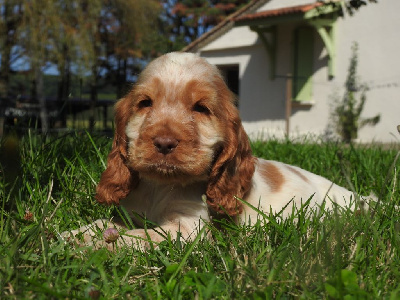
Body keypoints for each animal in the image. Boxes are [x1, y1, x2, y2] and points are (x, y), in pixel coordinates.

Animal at [65, 52, 368, 251]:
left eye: (201, 108)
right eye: (145, 103)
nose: (164, 142)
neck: (160, 187)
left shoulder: (189, 229)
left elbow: (138, 236)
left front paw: (97, 246)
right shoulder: (129, 213)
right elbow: (104, 223)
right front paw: (71, 235)